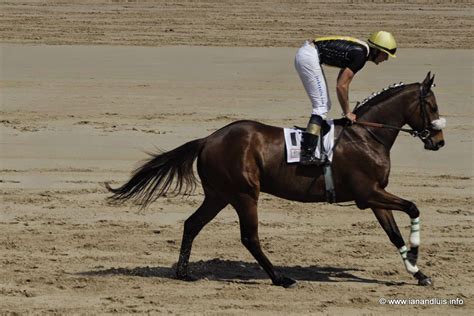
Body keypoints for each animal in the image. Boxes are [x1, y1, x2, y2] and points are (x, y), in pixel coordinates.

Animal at [106, 73, 444, 288]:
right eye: (432, 106)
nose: (438, 141)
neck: (367, 135)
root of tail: (208, 139)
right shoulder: (367, 193)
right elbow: (413, 207)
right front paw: (416, 254)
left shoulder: (375, 195)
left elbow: (394, 234)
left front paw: (418, 272)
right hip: (244, 194)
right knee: (249, 237)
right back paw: (279, 278)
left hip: (219, 194)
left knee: (192, 224)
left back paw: (183, 272)